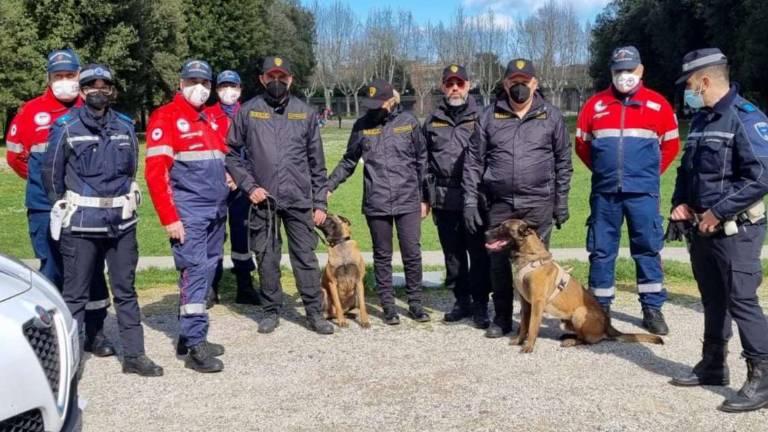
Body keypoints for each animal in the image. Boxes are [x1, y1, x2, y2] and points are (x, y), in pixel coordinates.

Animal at [486, 218, 660, 352]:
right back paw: (568, 336)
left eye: (503, 227)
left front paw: (529, 346)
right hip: (567, 321)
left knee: (590, 340)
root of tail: (607, 324)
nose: (485, 233)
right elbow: (524, 326)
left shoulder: (537, 303)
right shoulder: (525, 303)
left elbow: (532, 327)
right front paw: (519, 340)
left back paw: (571, 341)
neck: (530, 258)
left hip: (579, 314)